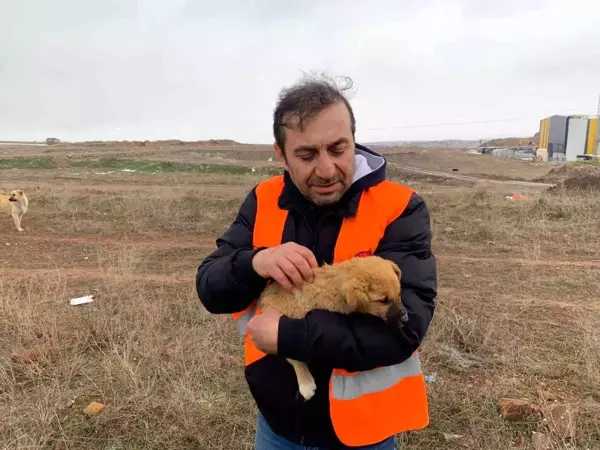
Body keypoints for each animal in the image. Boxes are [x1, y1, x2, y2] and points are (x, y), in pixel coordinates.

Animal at [258, 256, 408, 400]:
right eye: (383, 300)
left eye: (399, 294)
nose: (405, 319)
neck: (335, 287)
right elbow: (294, 356)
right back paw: (306, 384)